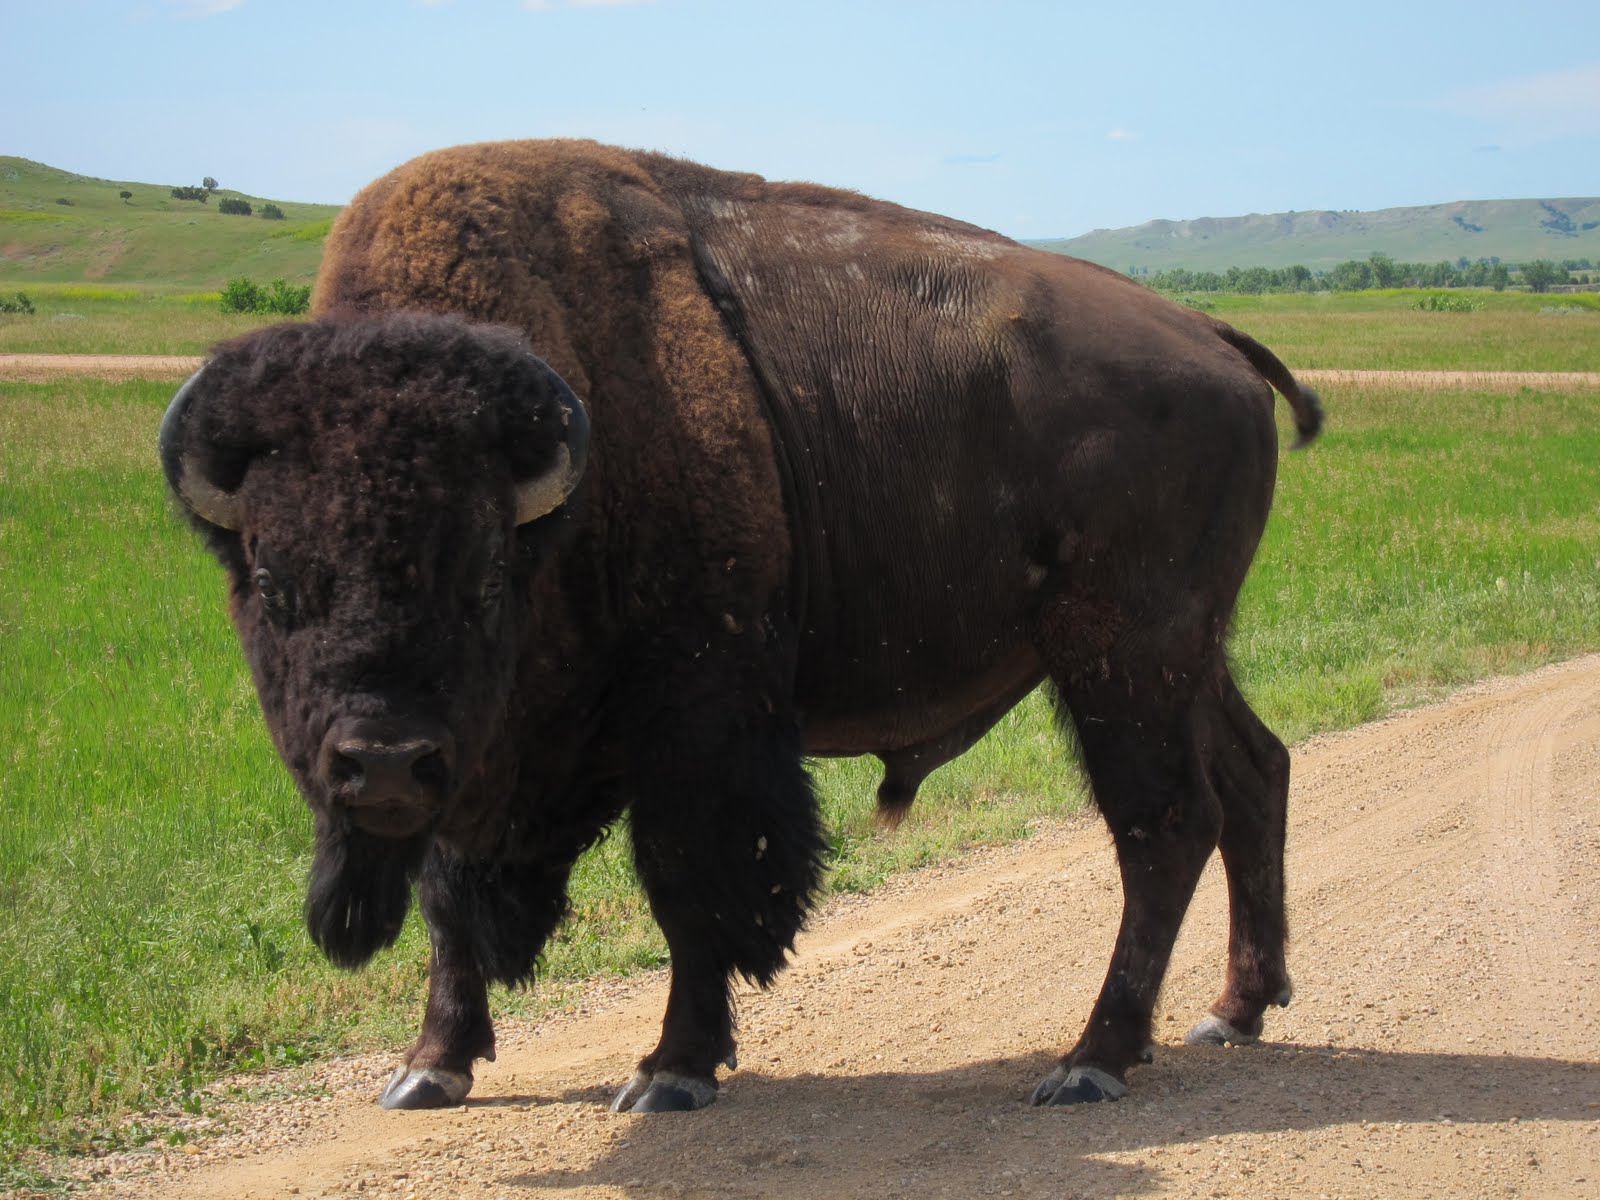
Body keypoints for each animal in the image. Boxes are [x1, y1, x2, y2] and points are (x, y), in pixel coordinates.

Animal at [161, 140, 1320, 1114]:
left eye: (485, 574)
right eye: (270, 579)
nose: (383, 761)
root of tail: (1211, 340)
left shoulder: (694, 725)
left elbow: (692, 889)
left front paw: (671, 1071)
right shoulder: (478, 756)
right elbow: (450, 897)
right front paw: (428, 1070)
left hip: (1120, 659)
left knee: (1164, 825)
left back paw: (1093, 1060)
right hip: (1183, 657)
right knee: (1254, 772)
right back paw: (1234, 1009)